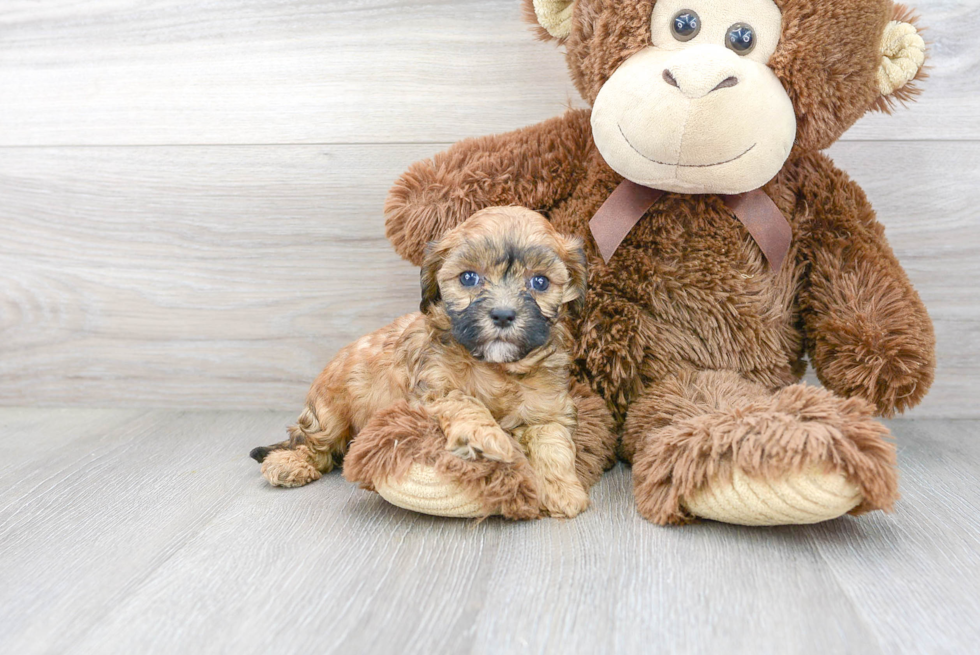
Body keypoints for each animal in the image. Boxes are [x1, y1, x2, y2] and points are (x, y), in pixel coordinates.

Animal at [249, 208, 592, 520]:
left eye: (540, 282)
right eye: (469, 277)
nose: (504, 315)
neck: (496, 367)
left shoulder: (546, 407)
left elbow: (552, 441)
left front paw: (562, 490)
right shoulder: (433, 388)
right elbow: (465, 401)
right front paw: (488, 437)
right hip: (330, 413)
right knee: (312, 443)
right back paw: (289, 463)